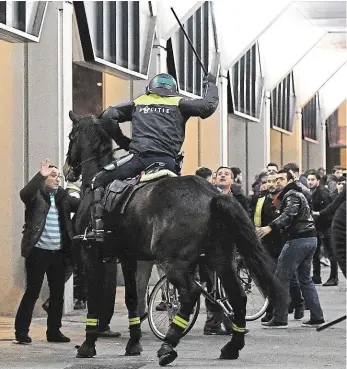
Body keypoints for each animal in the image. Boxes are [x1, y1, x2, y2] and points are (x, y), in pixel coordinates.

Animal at [65, 111, 282, 366]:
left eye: (71, 136)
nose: (68, 169)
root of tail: (212, 196)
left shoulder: (90, 255)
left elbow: (94, 300)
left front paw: (88, 345)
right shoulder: (128, 258)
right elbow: (131, 298)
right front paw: (133, 343)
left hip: (174, 262)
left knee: (190, 294)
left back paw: (168, 346)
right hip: (220, 258)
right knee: (237, 296)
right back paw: (232, 346)